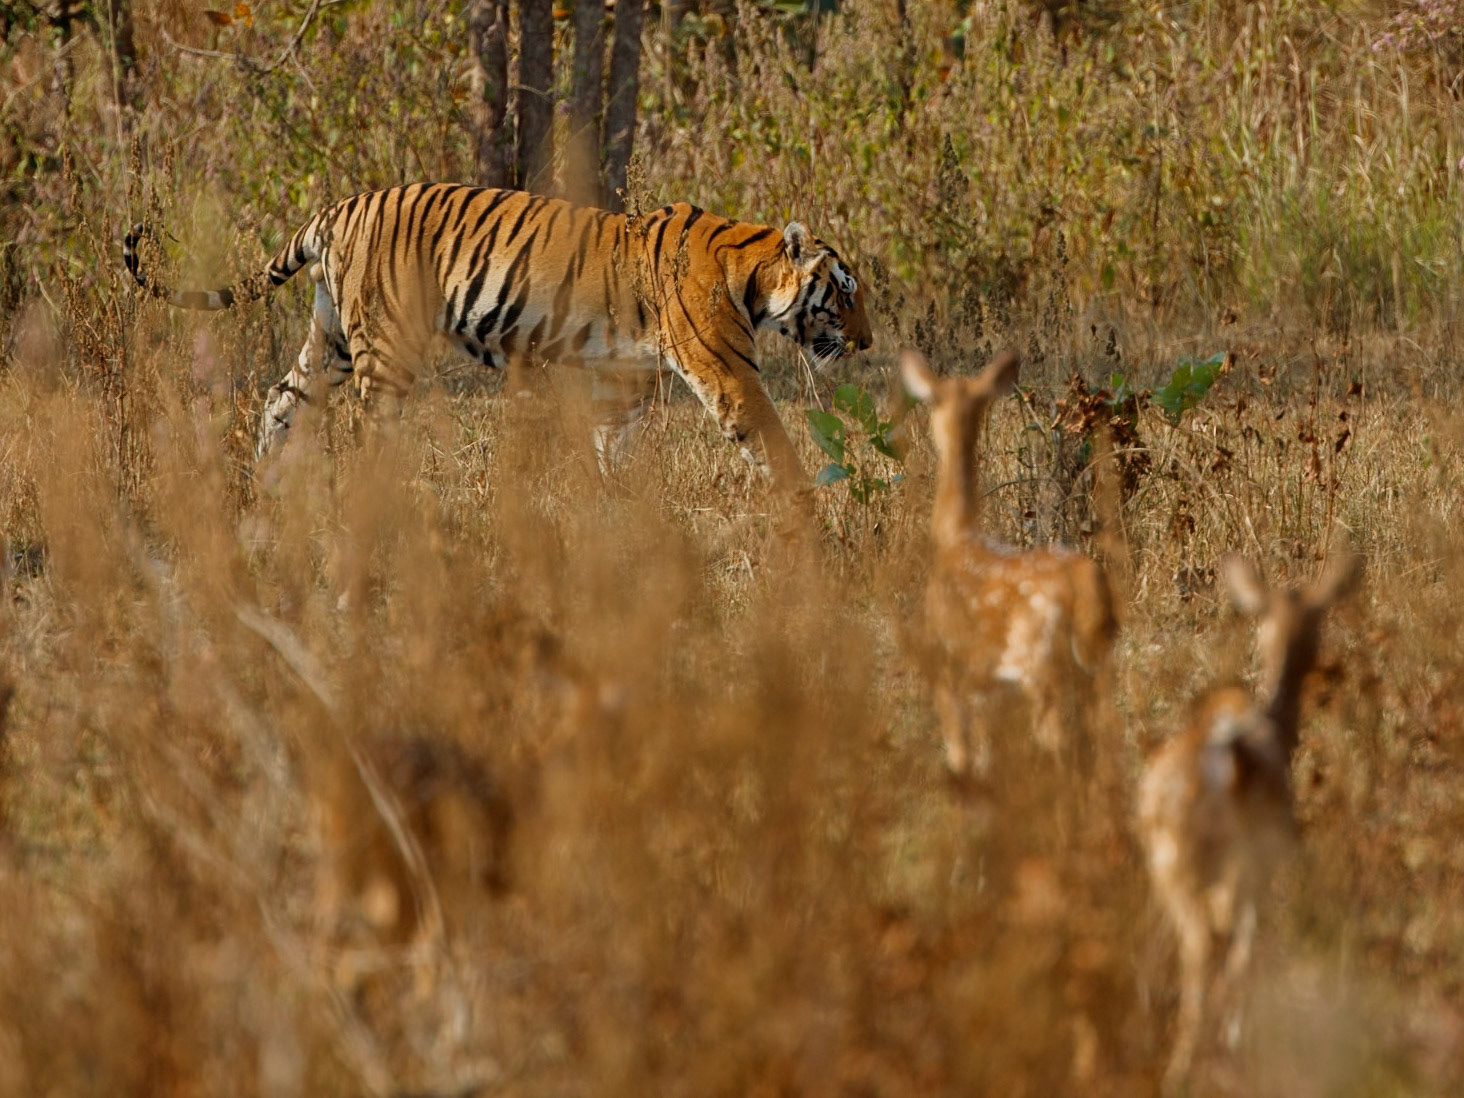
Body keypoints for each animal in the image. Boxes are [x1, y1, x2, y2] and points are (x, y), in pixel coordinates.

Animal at [123, 182, 873, 484]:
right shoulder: (727, 373)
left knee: (281, 401)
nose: (868, 345)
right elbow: (774, 443)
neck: (752, 271)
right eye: (844, 294)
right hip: (384, 347)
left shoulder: (624, 377)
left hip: (329, 339)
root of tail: (338, 207)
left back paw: (263, 488)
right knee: (369, 431)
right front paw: (808, 516)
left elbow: (614, 445)